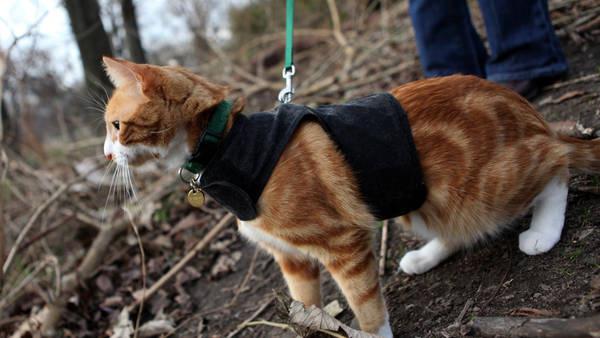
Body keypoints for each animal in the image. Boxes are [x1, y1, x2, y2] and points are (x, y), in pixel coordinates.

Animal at [101, 56, 596, 336]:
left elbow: (364, 303)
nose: (105, 154)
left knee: (559, 161)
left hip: (485, 187)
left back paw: (544, 230)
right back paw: (424, 256)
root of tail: (529, 114)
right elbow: (305, 303)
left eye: (116, 125)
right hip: (417, 198)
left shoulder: (342, 242)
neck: (225, 144)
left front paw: (374, 332)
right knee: (457, 230)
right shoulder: (291, 258)